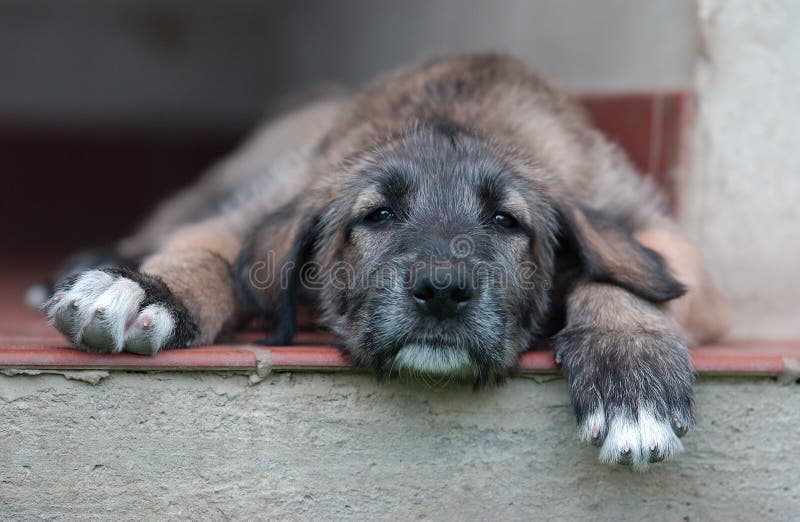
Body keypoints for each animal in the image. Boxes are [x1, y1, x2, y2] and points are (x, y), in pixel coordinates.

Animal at [45, 52, 732, 468]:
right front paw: (151, 290)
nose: (442, 291)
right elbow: (212, 253)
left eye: (506, 221)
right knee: (168, 218)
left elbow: (623, 277)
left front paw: (632, 372)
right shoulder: (257, 207)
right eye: (377, 215)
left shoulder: (662, 238)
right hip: (235, 179)